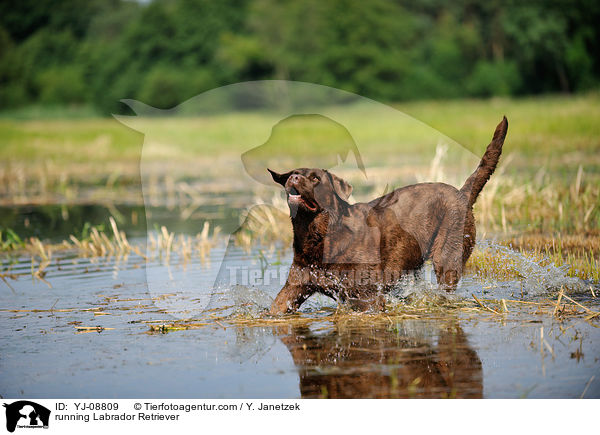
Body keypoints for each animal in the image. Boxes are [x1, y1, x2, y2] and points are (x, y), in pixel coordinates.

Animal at [270, 117, 508, 316]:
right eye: (294, 173)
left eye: (315, 178)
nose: (293, 177)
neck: (316, 235)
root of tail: (461, 193)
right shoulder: (295, 286)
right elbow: (276, 307)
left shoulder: (367, 295)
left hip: (448, 256)